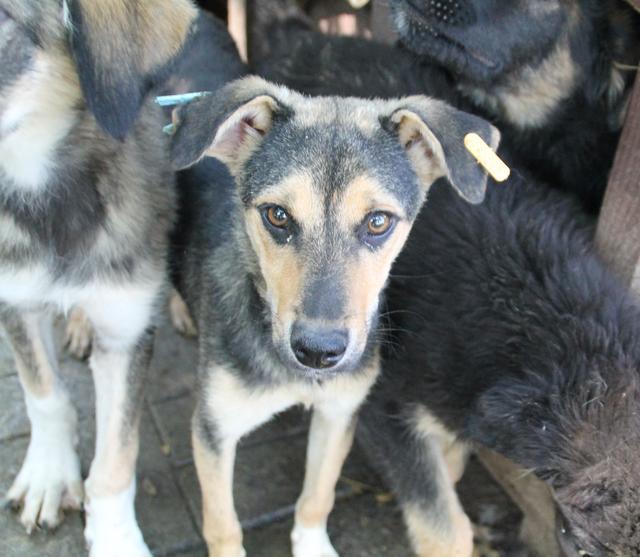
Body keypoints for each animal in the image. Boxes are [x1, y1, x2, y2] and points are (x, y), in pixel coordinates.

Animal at [0, 2, 202, 552]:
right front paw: (49, 475)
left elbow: (117, 456)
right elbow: (44, 394)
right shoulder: (15, 299)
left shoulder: (126, 330)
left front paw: (113, 538)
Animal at [170, 77, 500, 556]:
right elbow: (223, 526)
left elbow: (317, 496)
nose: (318, 352)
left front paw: (311, 544)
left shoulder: (341, 412)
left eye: (378, 221)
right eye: (277, 215)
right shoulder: (214, 427)